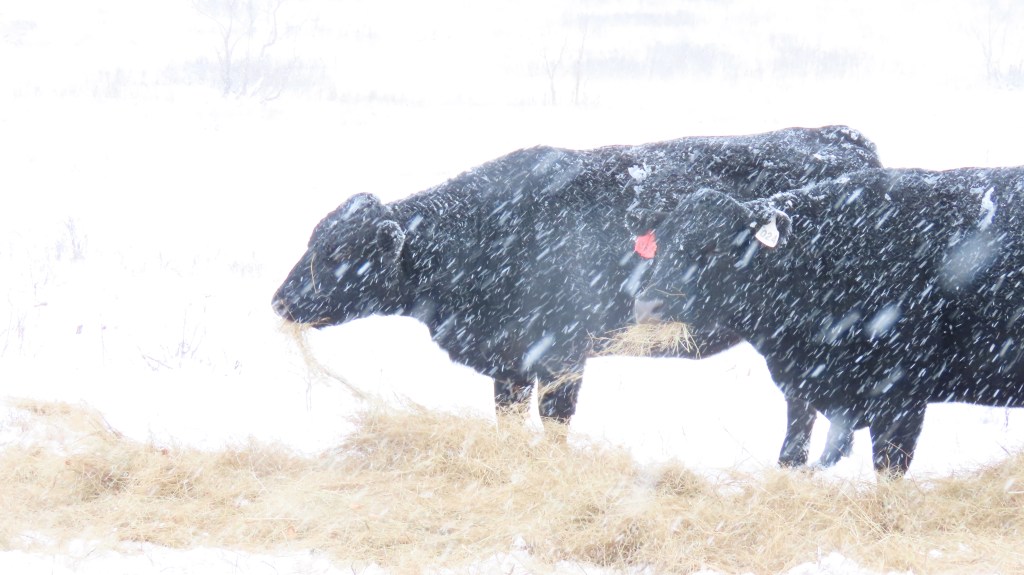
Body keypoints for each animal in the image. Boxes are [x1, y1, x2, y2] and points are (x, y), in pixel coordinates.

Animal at [271, 126, 880, 433]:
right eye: (313, 240)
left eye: (337, 252)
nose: (279, 300)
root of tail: (842, 134)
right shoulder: (510, 363)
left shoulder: (563, 356)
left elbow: (555, 426)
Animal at [632, 166, 1024, 475]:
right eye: (660, 244)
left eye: (715, 247)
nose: (647, 304)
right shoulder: (800, 387)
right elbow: (792, 454)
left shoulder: (901, 396)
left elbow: (889, 468)